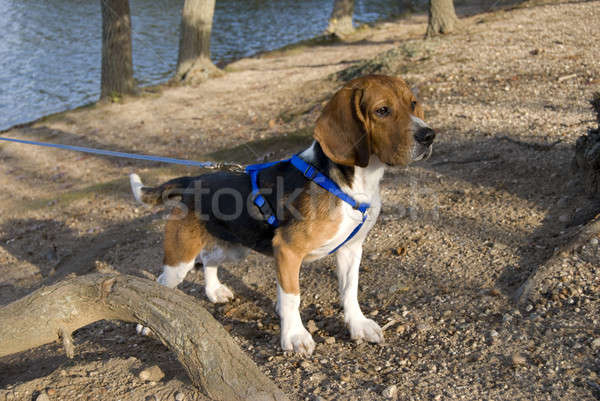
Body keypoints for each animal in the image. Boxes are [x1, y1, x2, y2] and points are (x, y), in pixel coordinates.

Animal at [129, 74, 434, 354]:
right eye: (382, 110)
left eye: (413, 103)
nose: (429, 135)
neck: (350, 181)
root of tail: (193, 180)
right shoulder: (287, 250)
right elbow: (292, 297)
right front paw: (295, 336)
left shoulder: (350, 248)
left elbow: (349, 290)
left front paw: (357, 325)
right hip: (180, 257)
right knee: (162, 282)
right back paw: (148, 322)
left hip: (234, 249)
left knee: (208, 261)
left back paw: (215, 291)